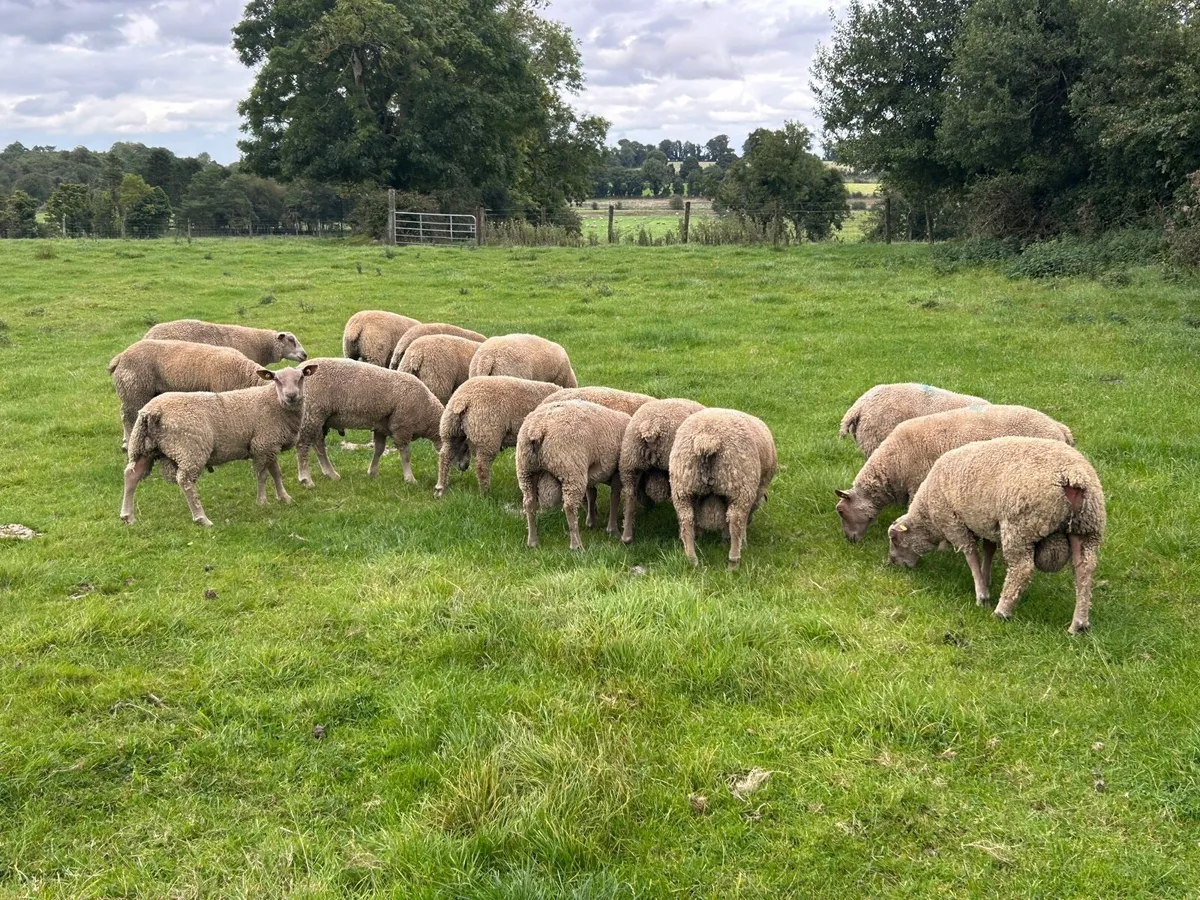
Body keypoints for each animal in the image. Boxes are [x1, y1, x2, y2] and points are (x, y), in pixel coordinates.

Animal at [120, 364, 318, 526]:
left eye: (301, 378)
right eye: (277, 379)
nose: (291, 396)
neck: (275, 403)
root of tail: (152, 411)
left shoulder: (269, 445)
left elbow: (276, 473)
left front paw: (284, 497)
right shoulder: (262, 444)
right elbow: (262, 475)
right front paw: (262, 502)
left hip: (144, 447)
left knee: (131, 475)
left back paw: (127, 516)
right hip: (190, 448)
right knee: (185, 481)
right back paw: (202, 518)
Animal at [294, 358, 443, 486]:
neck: (427, 410)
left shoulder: (382, 427)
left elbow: (379, 449)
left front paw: (373, 472)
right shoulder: (402, 427)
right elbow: (406, 454)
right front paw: (410, 478)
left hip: (319, 418)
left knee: (318, 445)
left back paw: (331, 474)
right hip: (311, 413)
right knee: (302, 447)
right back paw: (306, 479)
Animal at [516, 400, 631, 550]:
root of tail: (537, 428)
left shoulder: (589, 470)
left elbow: (591, 494)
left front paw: (591, 521)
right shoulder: (616, 471)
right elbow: (614, 498)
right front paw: (613, 530)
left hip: (526, 470)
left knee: (529, 503)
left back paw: (533, 541)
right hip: (571, 469)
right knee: (569, 507)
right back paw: (577, 545)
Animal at [669, 409, 777, 570]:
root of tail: (707, 439)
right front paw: (742, 541)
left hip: (682, 487)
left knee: (686, 519)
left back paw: (692, 559)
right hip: (740, 485)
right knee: (735, 520)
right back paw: (734, 561)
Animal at [888, 437, 1106, 634]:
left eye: (895, 541)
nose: (892, 563)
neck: (927, 514)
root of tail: (1073, 477)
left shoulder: (953, 523)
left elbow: (971, 556)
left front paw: (982, 595)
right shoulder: (986, 524)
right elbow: (988, 551)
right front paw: (986, 579)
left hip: (1020, 526)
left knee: (1021, 569)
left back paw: (1001, 611)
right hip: (1086, 528)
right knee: (1084, 569)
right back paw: (1079, 624)